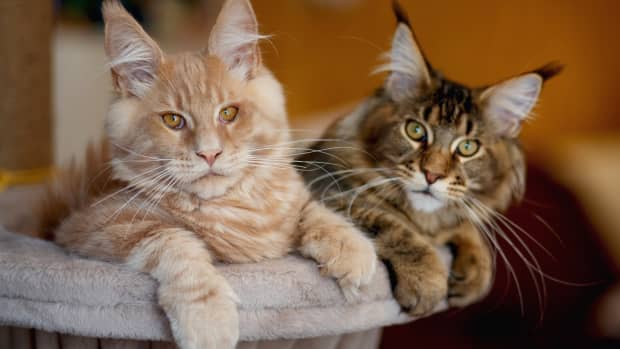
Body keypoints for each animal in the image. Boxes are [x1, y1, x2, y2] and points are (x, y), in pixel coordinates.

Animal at [40, 1, 378, 346]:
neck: (234, 208)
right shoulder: (91, 226)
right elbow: (175, 243)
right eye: (173, 120)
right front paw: (207, 318)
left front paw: (351, 247)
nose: (209, 153)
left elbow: (311, 210)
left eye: (228, 113)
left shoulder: (290, 203)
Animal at [300, 0, 560, 316]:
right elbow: (391, 222)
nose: (432, 175)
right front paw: (427, 283)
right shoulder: (325, 188)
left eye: (468, 147)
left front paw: (476, 272)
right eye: (415, 130)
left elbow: (464, 224)